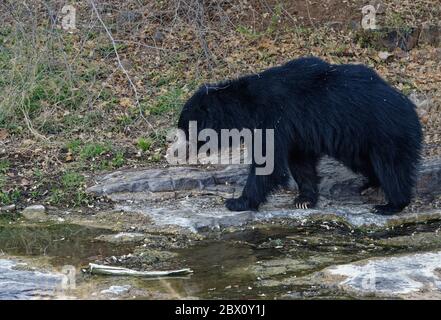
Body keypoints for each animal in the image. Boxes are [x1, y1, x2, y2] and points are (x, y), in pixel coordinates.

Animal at [177, 57, 422, 215]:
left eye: (187, 129)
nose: (183, 150)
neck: (245, 107)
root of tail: (411, 108)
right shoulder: (297, 129)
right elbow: (300, 161)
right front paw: (304, 200)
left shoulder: (273, 118)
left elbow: (269, 164)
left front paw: (237, 202)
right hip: (359, 140)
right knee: (366, 163)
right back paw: (369, 184)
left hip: (384, 132)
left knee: (391, 168)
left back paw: (391, 204)